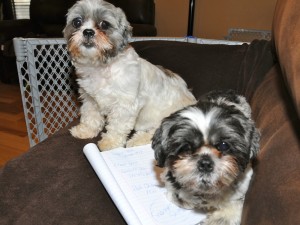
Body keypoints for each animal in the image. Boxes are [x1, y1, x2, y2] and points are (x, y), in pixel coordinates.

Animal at [62, 0, 196, 151]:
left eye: (104, 24)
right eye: (77, 22)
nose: (88, 31)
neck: (101, 67)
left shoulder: (125, 105)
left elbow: (117, 126)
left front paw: (110, 143)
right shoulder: (90, 99)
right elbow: (91, 115)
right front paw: (86, 130)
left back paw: (138, 140)